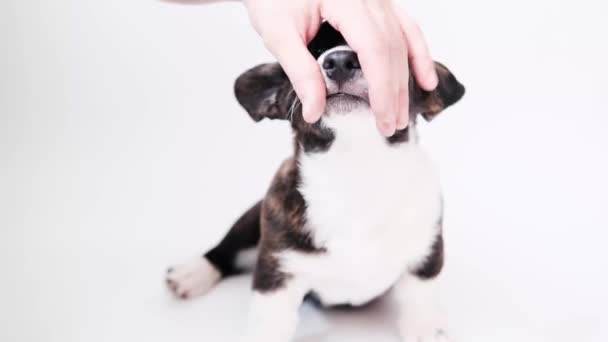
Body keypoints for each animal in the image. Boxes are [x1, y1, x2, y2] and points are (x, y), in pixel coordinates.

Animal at [166, 22, 466, 342]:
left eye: (386, 55)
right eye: (314, 52)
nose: (340, 61)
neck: (355, 169)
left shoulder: (424, 258)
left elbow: (421, 302)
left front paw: (426, 328)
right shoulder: (276, 275)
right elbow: (269, 324)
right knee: (227, 251)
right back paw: (191, 274)